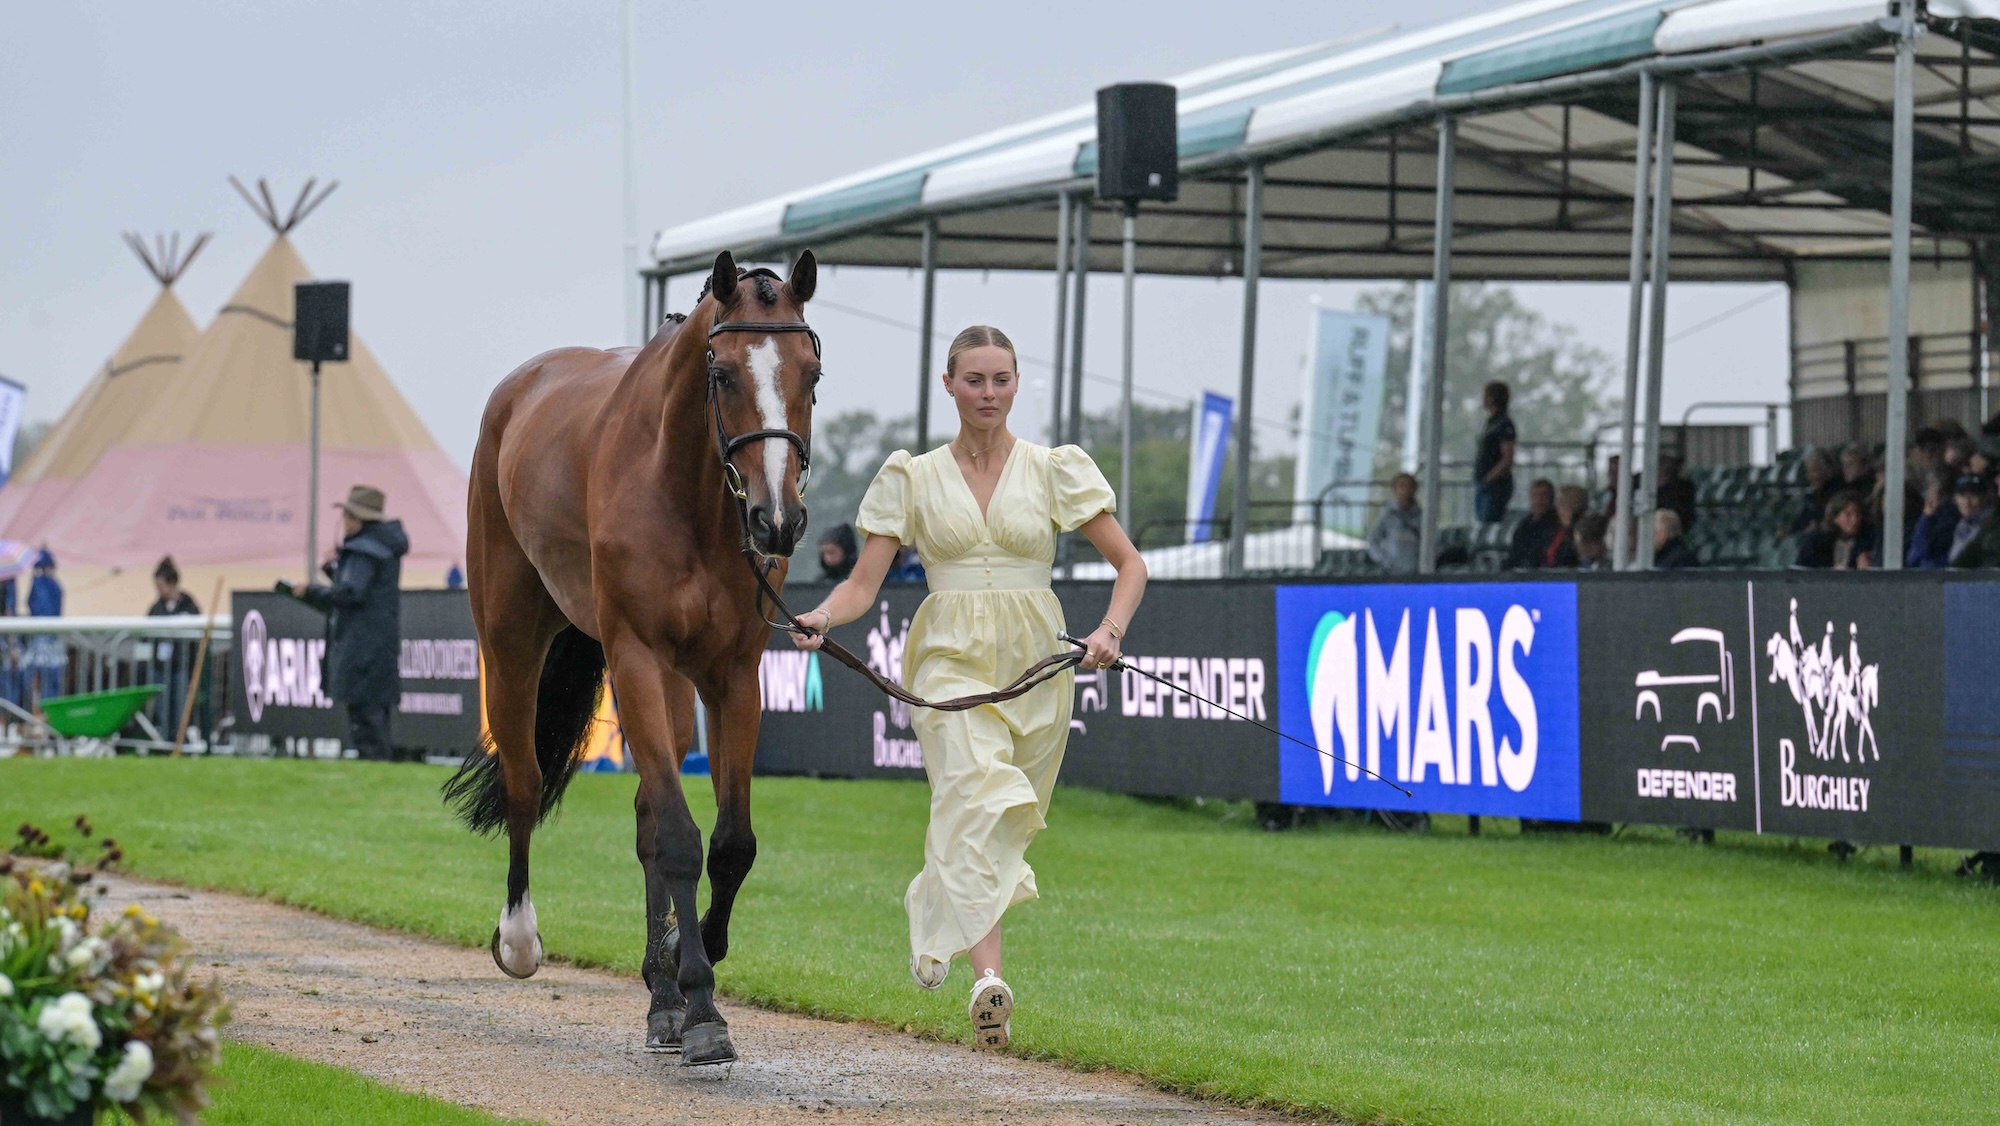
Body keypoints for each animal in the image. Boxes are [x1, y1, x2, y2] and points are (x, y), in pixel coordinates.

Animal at [444, 249, 821, 1067]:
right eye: (724, 375)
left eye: (812, 371)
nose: (776, 520)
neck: (687, 495)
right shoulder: (638, 658)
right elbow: (679, 840)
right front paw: (702, 999)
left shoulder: (731, 676)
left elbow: (728, 843)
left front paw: (686, 967)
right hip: (512, 640)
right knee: (524, 780)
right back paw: (521, 938)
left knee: (650, 806)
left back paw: (662, 996)